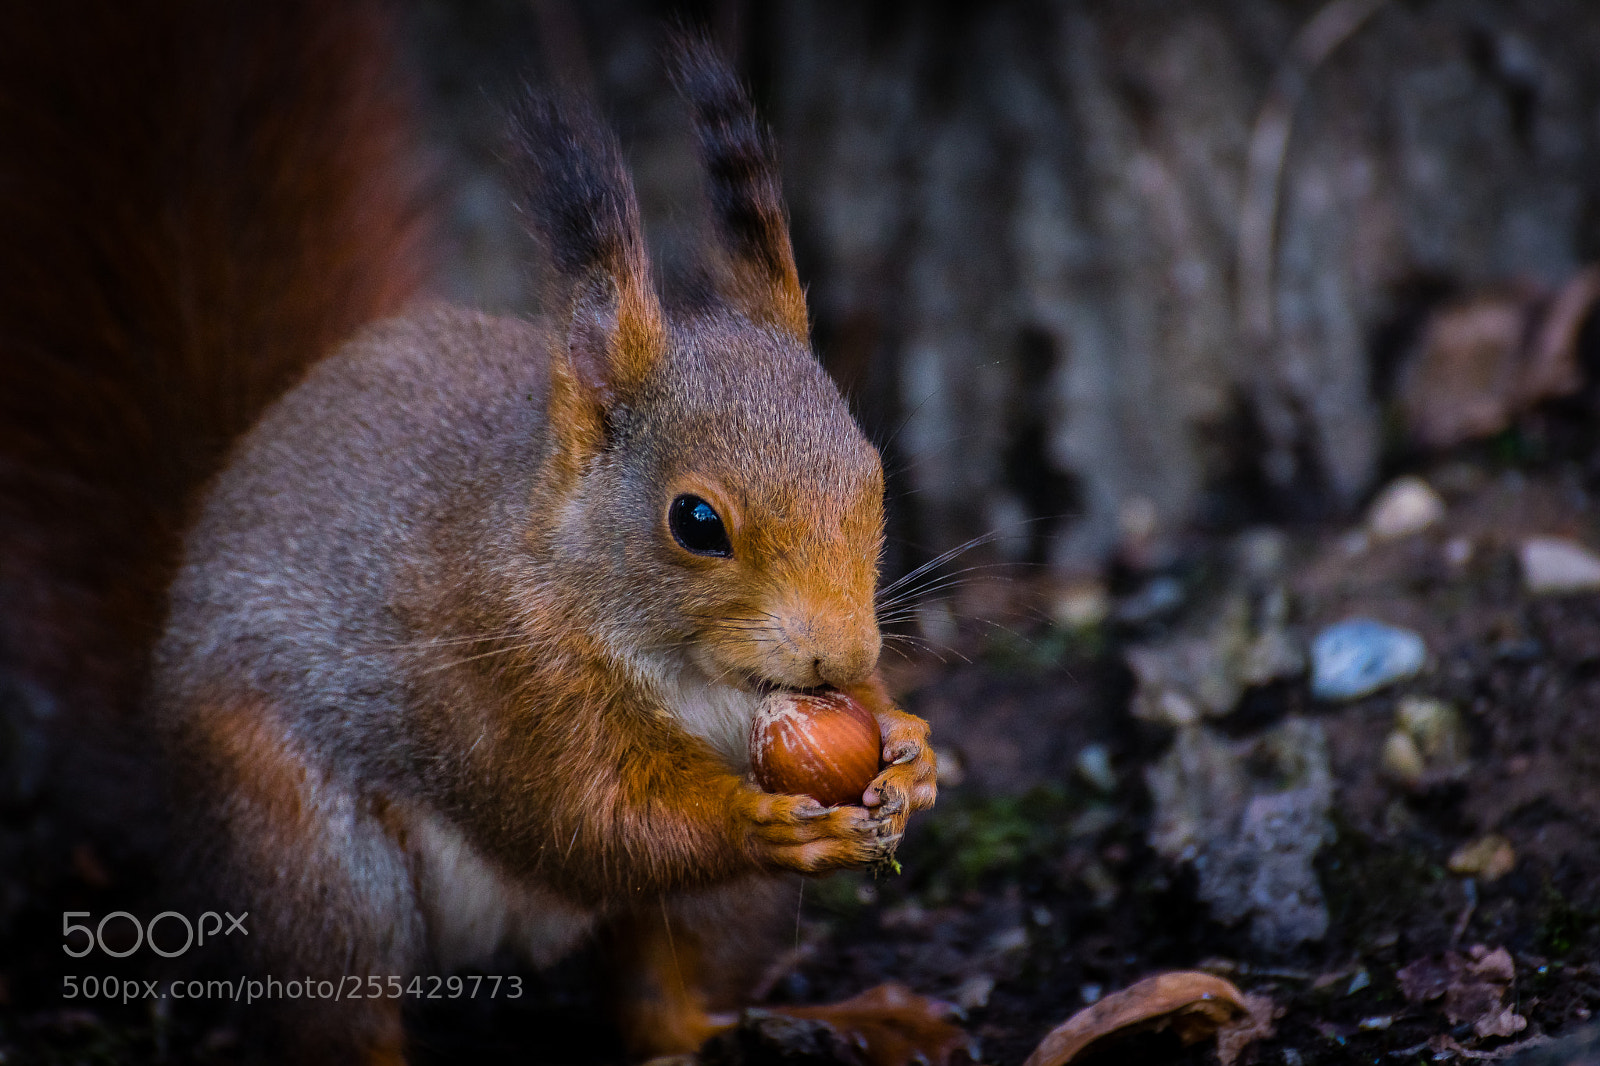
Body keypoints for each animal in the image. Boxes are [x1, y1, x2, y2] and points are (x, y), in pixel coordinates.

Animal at [0, 2, 938, 1062]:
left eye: (872, 475)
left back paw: (822, 1023)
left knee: (662, 996)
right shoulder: (497, 674)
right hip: (299, 846)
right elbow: (589, 818)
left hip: (704, 918)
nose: (841, 657)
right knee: (336, 1006)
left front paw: (912, 749)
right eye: (696, 522)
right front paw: (760, 822)